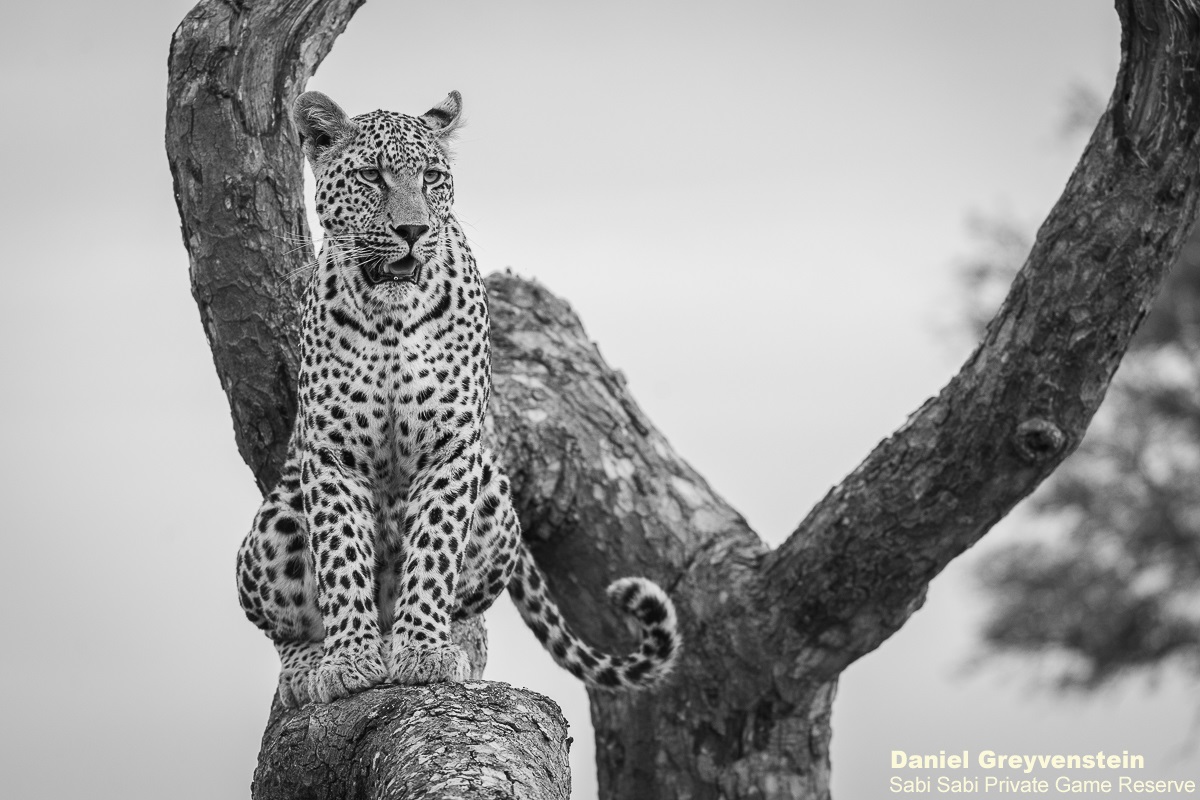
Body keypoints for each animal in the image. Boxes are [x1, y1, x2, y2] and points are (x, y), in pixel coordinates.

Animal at [235, 90, 681, 707]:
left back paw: (452, 645)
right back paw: (310, 664)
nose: (412, 230)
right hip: (274, 519)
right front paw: (348, 660)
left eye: (432, 177)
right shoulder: (332, 455)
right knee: (284, 628)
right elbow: (341, 559)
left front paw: (424, 651)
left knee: (472, 609)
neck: (390, 315)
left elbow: (435, 551)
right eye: (371, 176)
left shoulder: (449, 449)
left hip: (494, 494)